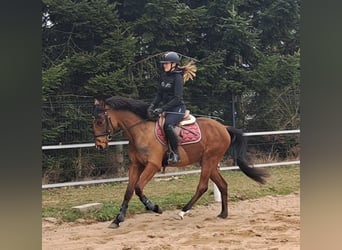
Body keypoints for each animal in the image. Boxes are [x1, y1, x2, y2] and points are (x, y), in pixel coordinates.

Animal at [92, 96, 268, 229]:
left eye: (100, 121)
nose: (99, 145)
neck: (140, 132)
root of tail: (223, 127)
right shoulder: (136, 166)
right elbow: (129, 191)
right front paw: (118, 219)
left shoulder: (152, 166)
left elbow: (138, 188)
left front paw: (155, 208)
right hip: (209, 163)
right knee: (222, 185)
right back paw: (223, 214)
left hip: (209, 161)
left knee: (202, 187)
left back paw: (182, 212)